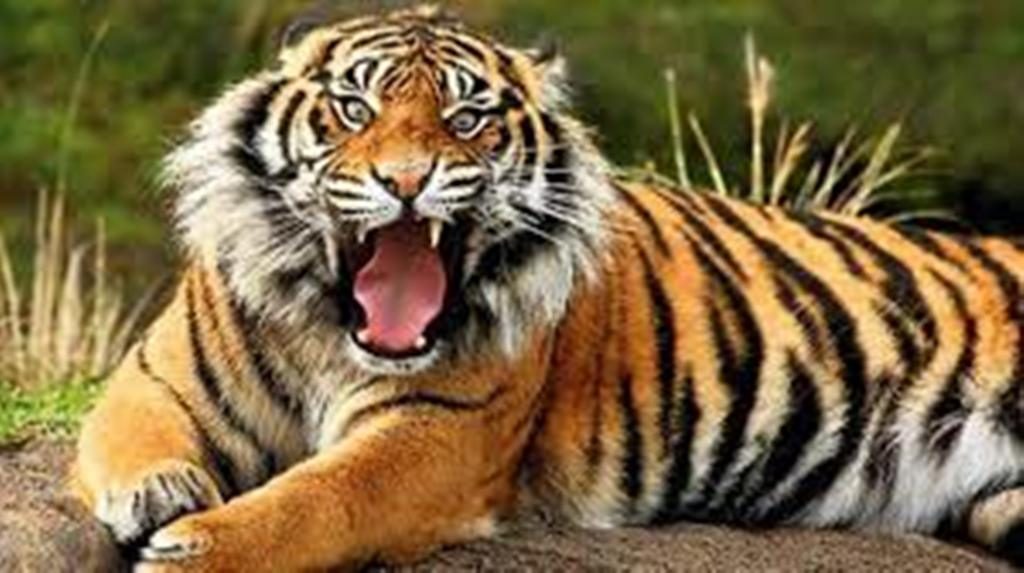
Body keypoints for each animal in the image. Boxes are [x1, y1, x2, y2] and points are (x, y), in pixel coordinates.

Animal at [72, 4, 1024, 571]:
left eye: (467, 119)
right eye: (355, 110)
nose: (406, 180)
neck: (328, 327)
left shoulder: (434, 434)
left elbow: (317, 498)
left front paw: (194, 546)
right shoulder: (155, 377)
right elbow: (131, 437)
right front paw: (158, 493)